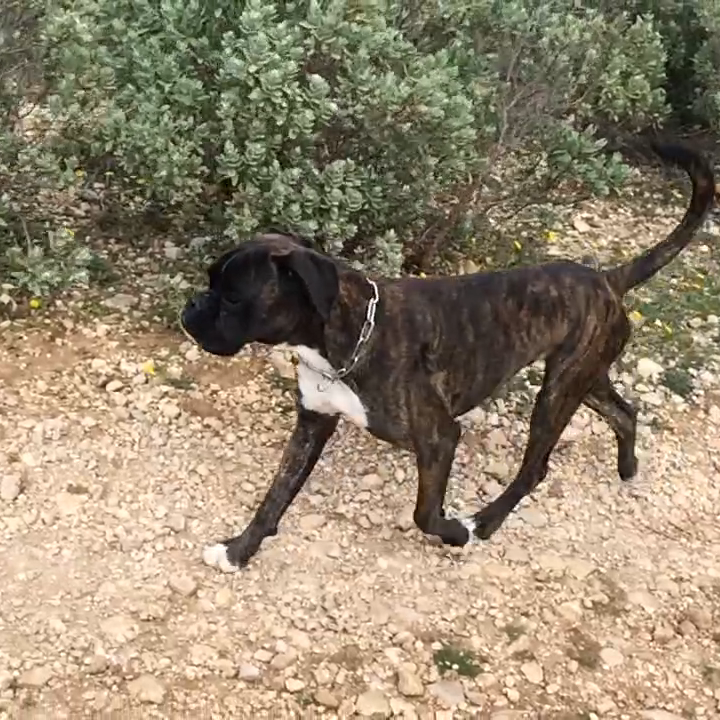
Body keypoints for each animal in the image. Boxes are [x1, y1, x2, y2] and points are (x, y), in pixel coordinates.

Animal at [180, 142, 715, 573]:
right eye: (211, 283)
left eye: (232, 297)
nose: (190, 309)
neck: (344, 338)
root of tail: (607, 278)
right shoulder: (313, 423)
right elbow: (274, 497)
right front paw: (238, 551)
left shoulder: (439, 438)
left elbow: (424, 513)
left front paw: (456, 532)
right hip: (582, 377)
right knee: (624, 412)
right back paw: (627, 468)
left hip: (559, 391)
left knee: (536, 468)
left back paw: (485, 522)